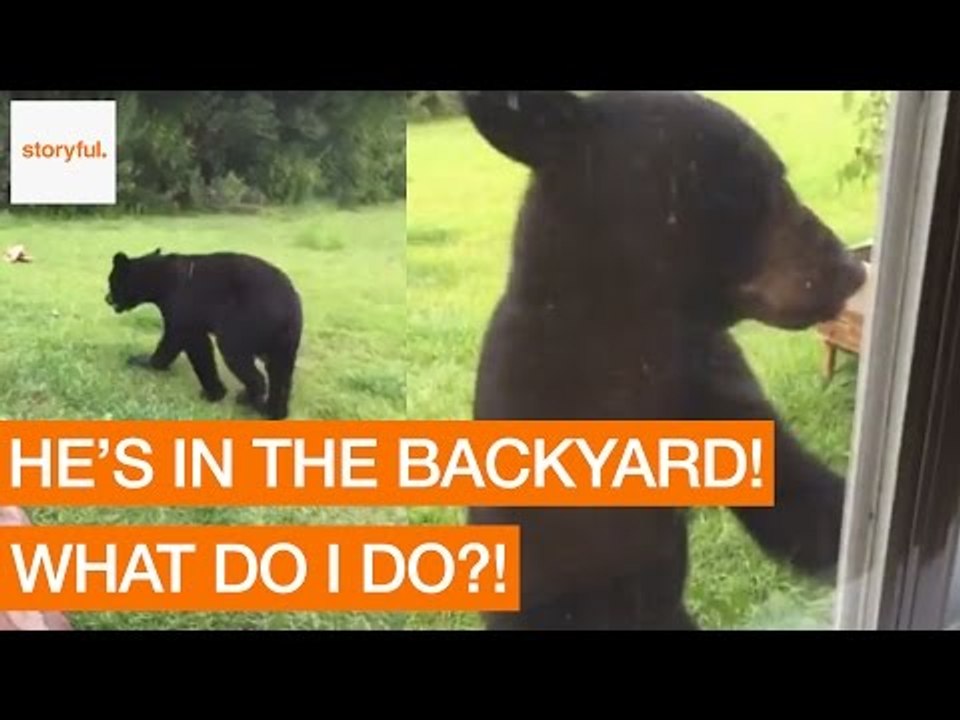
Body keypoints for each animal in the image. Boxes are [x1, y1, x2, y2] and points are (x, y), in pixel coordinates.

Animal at [105, 248, 303, 421]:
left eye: (111, 281)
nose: (106, 298)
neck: (159, 282)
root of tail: (290, 305)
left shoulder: (185, 317)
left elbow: (193, 349)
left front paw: (214, 393)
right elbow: (174, 344)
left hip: (241, 326)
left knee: (249, 368)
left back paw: (247, 399)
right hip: (285, 343)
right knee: (280, 375)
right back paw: (273, 411)